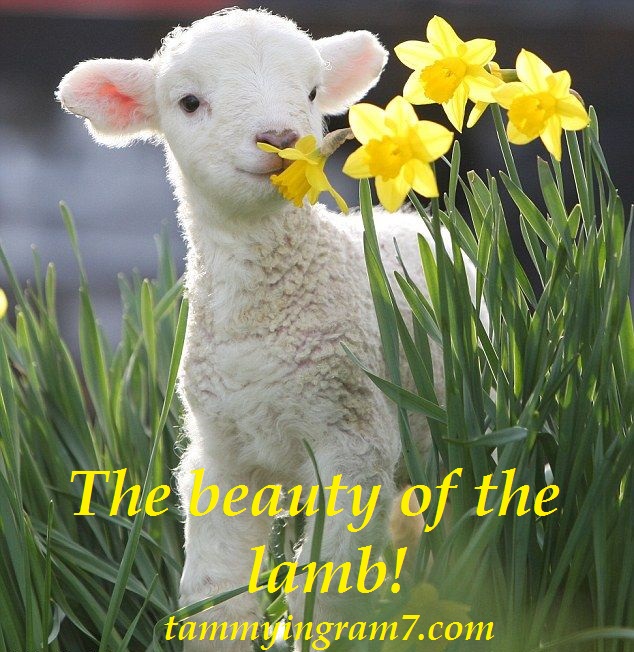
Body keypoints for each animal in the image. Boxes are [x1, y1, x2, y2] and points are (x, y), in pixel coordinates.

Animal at [57, 8, 450, 649]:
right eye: (190, 102)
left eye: (312, 92)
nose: (282, 139)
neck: (262, 323)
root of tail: (400, 220)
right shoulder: (221, 451)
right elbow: (213, 594)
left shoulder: (355, 442)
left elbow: (327, 593)